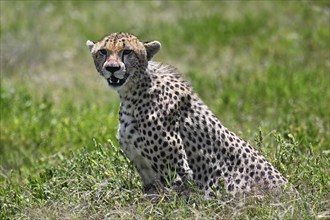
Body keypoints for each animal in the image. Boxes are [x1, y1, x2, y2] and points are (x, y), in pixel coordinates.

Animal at [86, 31, 288, 197]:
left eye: (127, 52)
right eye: (103, 51)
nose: (112, 68)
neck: (133, 91)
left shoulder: (177, 171)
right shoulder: (147, 174)